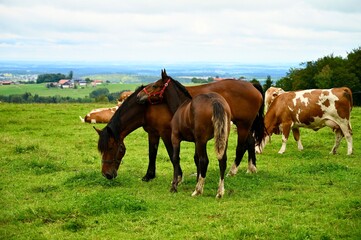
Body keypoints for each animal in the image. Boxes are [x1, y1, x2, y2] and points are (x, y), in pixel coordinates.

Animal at [95, 69, 264, 182]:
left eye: (111, 148)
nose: (106, 174)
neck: (147, 107)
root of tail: (252, 85)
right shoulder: (153, 132)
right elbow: (152, 153)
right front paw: (149, 175)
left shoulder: (166, 133)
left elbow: (172, 155)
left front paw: (179, 176)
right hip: (244, 126)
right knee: (250, 142)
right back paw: (252, 168)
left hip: (242, 125)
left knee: (241, 146)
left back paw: (232, 171)